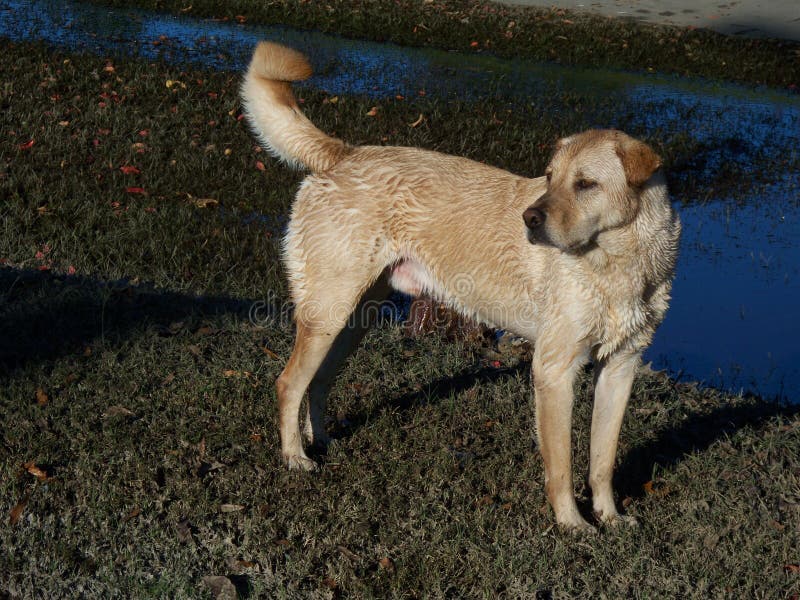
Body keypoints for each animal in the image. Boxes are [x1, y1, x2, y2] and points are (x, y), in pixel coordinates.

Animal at [241, 42, 680, 528]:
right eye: (550, 177)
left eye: (586, 184)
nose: (529, 219)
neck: (620, 261)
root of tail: (346, 153)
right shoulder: (554, 370)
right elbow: (562, 466)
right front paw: (571, 524)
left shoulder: (620, 368)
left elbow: (603, 460)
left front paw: (610, 518)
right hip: (327, 315)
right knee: (288, 383)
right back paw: (294, 457)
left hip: (353, 323)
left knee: (317, 383)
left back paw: (319, 442)